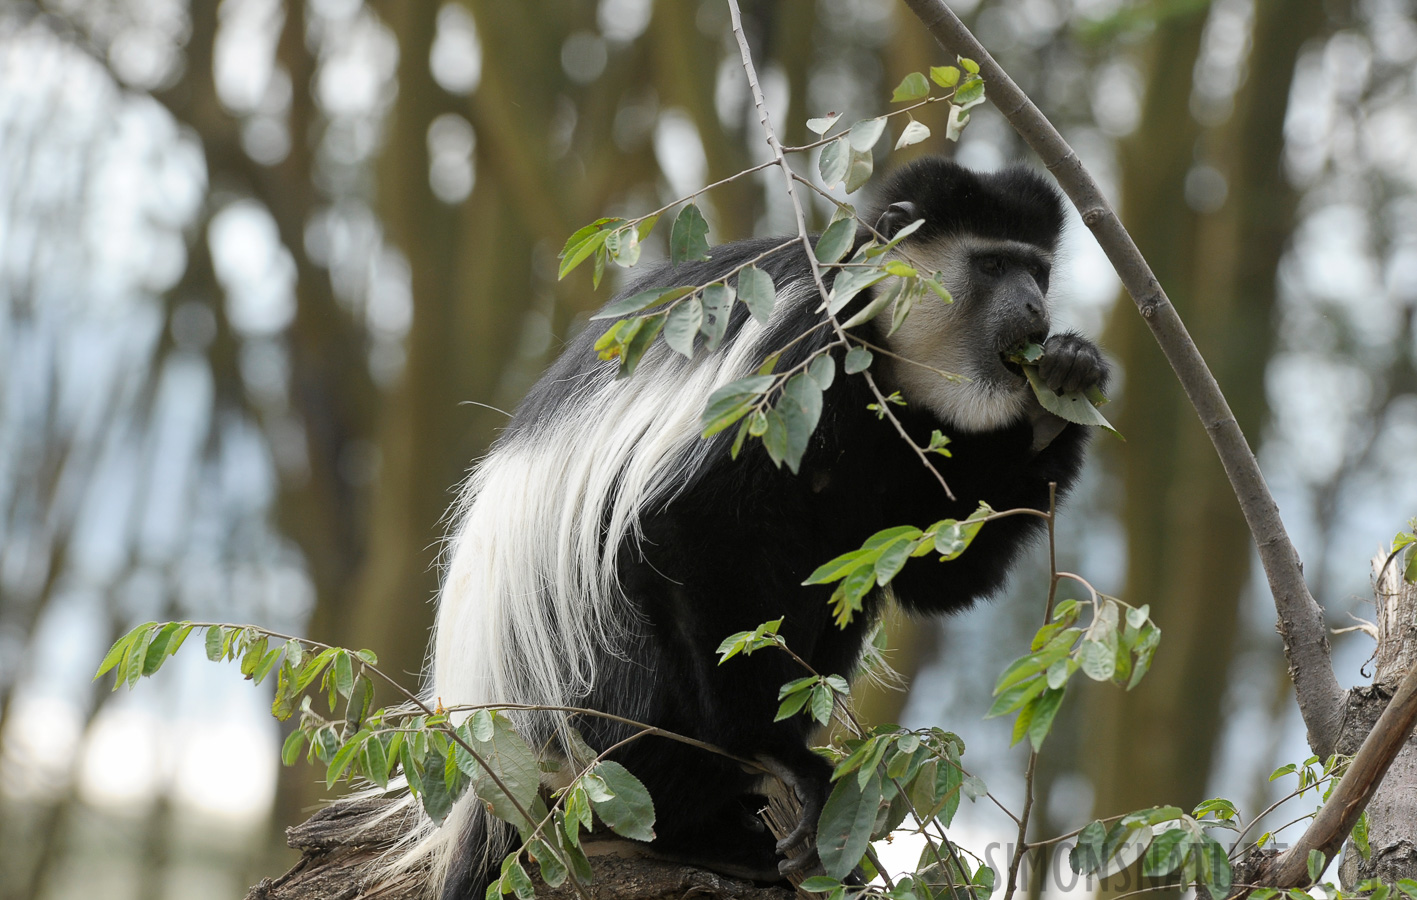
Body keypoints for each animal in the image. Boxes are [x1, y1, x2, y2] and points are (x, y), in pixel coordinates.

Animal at [410, 158, 1105, 895]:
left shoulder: (905, 429)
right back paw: (703, 828)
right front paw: (773, 751)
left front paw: (1065, 379)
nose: (1035, 310)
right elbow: (688, 521)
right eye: (994, 264)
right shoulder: (797, 348)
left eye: (1037, 271)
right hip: (581, 692)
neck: (873, 336)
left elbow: (929, 574)